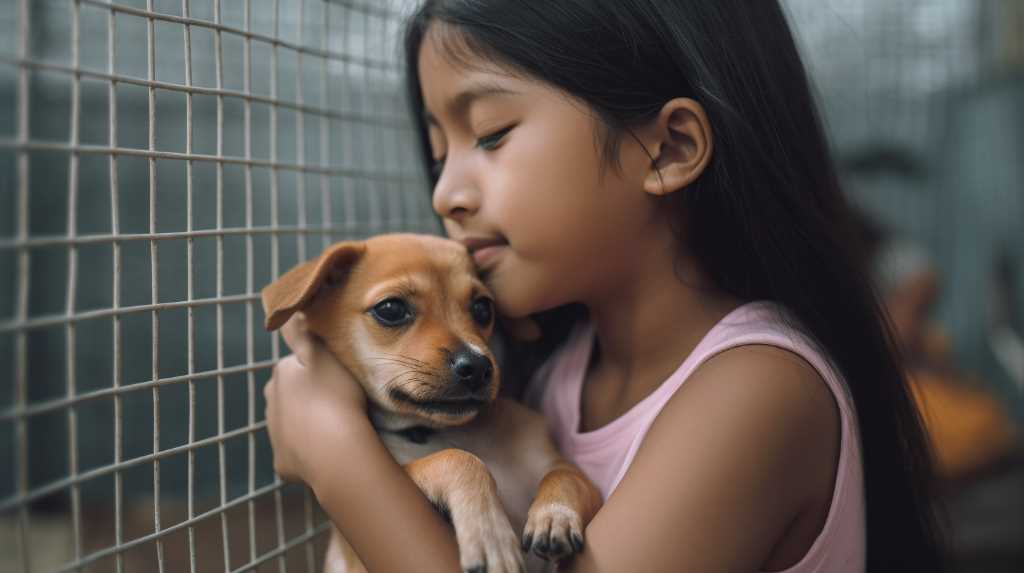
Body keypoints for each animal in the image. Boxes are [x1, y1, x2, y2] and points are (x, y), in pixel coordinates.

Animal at [260, 234, 602, 573]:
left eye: (483, 308)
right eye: (391, 309)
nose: (477, 366)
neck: (448, 431)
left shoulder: (559, 464)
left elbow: (568, 475)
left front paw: (554, 515)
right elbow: (457, 459)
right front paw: (490, 534)